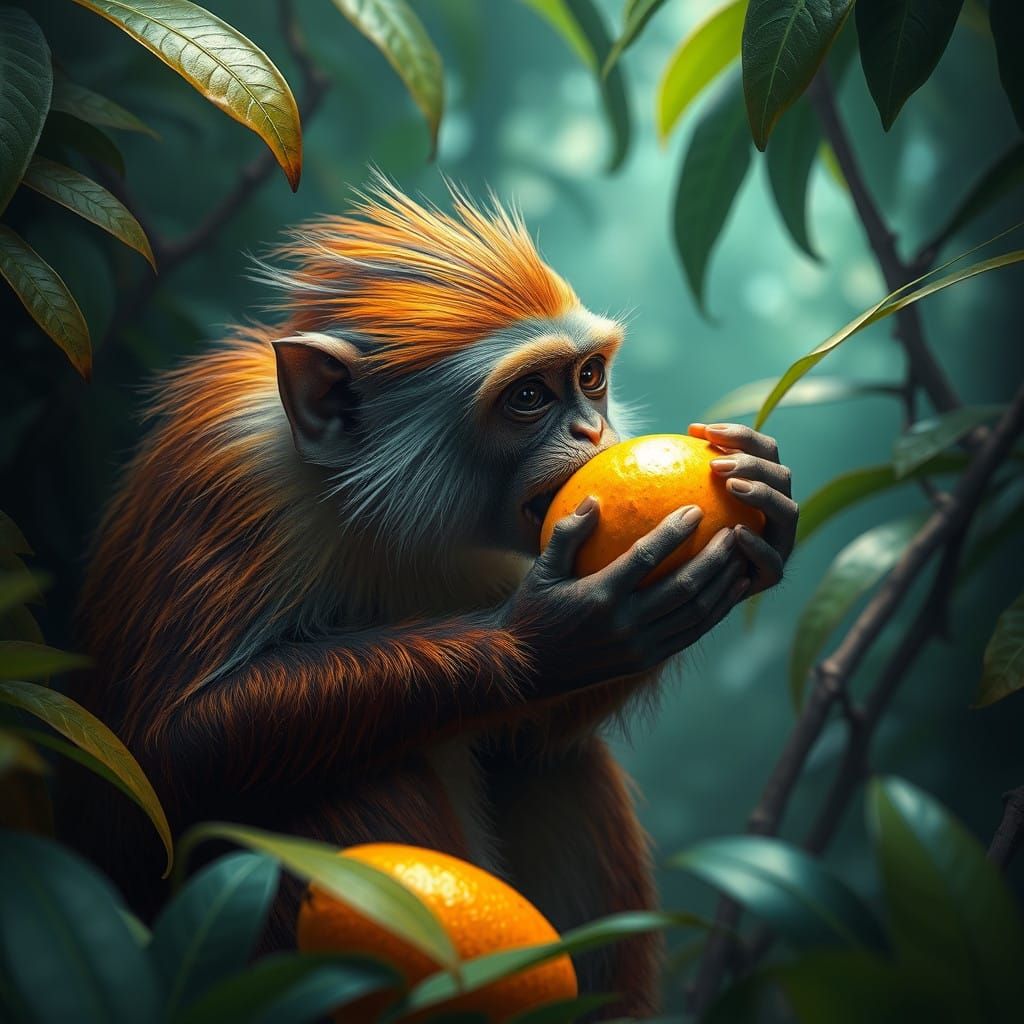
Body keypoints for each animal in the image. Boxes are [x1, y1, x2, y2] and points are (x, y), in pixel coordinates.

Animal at [60, 178, 798, 1017]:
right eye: (528, 396)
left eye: (589, 378)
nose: (592, 432)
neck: (378, 513)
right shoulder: (230, 478)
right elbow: (165, 757)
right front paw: (550, 638)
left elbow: (527, 732)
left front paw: (762, 489)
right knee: (352, 777)